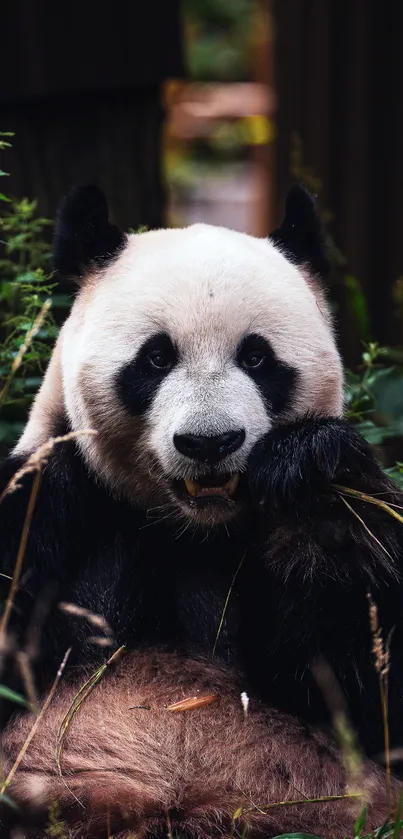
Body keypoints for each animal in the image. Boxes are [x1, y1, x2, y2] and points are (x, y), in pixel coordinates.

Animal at [0, 185, 403, 839]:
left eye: (257, 358)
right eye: (156, 358)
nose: (209, 443)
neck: (190, 531)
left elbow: (368, 686)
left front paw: (310, 473)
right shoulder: (51, 504)